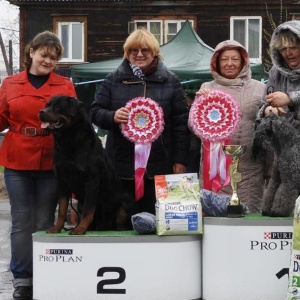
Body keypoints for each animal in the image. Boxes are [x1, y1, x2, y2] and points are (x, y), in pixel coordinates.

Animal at [39, 95, 135, 234]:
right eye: (47, 105)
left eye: (58, 107)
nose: (41, 112)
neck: (69, 141)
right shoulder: (62, 181)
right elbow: (62, 209)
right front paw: (57, 228)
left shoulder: (91, 181)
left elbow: (88, 210)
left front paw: (80, 229)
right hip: (79, 203)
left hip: (125, 203)